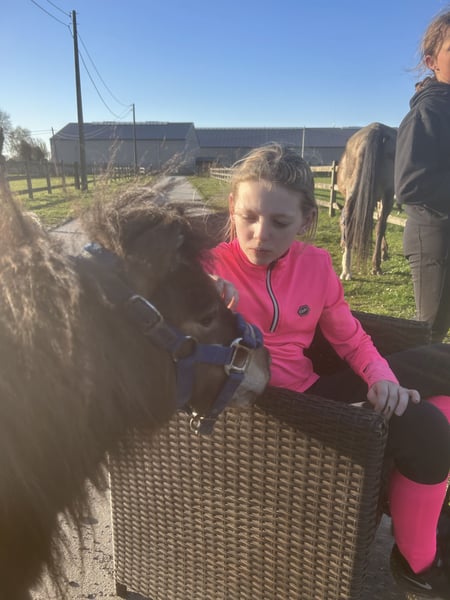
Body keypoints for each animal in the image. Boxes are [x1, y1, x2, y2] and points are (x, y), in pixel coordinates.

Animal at [337, 122, 397, 280]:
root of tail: (376, 130)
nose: (341, 243)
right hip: (388, 195)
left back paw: (347, 270)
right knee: (380, 226)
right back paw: (375, 266)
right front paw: (384, 252)